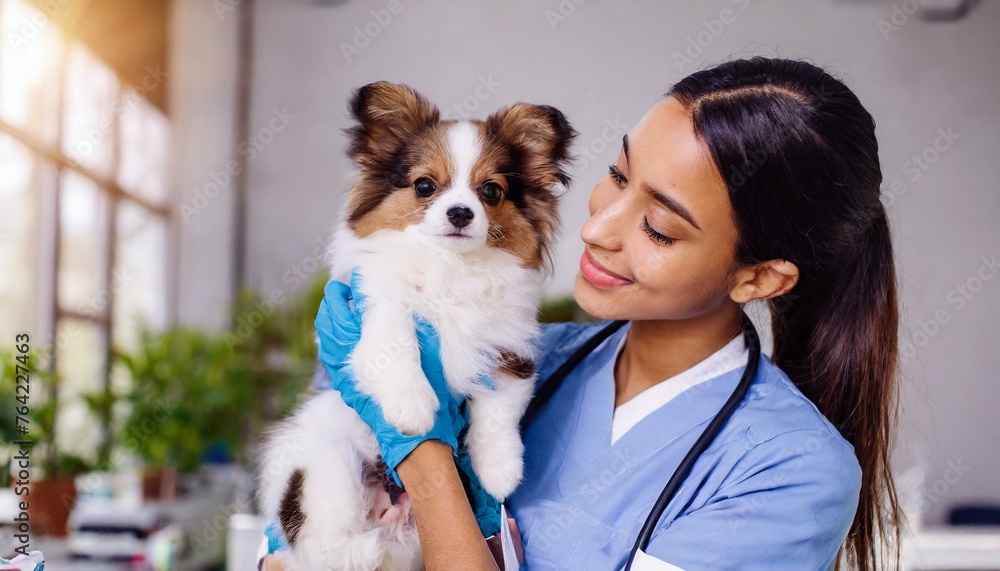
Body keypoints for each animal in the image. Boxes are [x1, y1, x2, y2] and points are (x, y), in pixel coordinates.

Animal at [254, 81, 576, 571]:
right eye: (425, 186)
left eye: (491, 192)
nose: (461, 212)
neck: (451, 267)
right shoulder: (375, 304)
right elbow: (397, 340)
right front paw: (414, 408)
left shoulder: (511, 346)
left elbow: (500, 408)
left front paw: (500, 470)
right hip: (326, 469)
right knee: (324, 549)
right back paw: (360, 546)